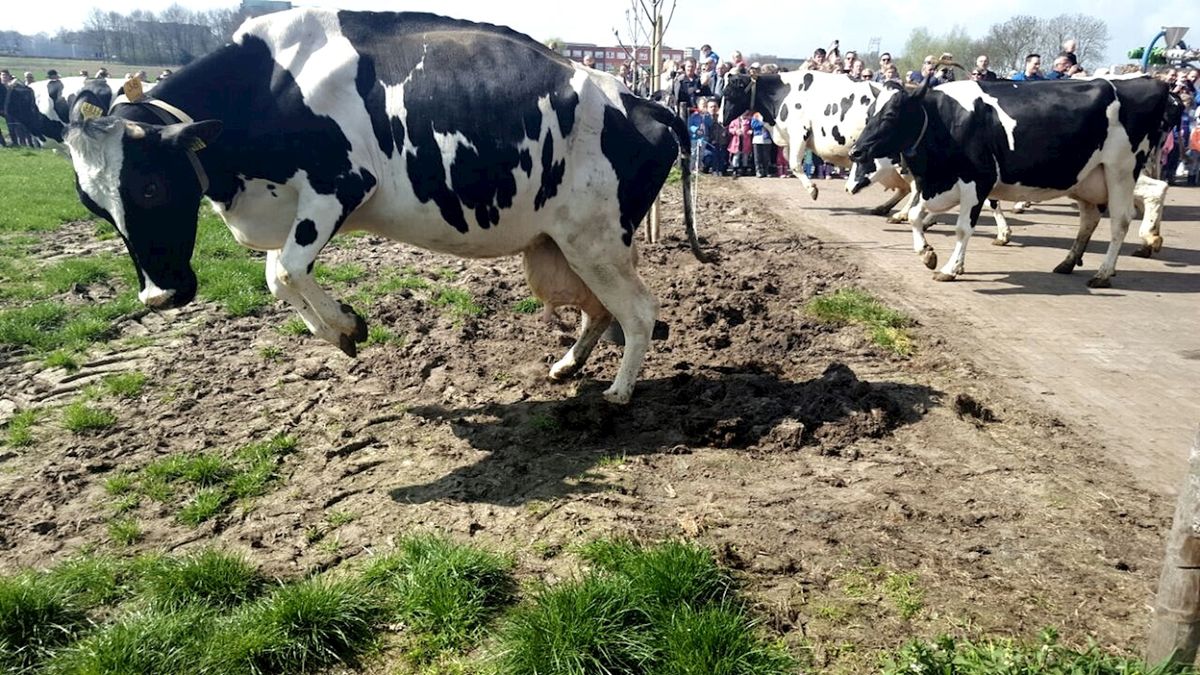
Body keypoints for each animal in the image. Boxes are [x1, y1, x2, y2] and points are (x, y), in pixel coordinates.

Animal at [61, 8, 707, 405]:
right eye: (94, 206)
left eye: (150, 187)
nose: (157, 296)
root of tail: (644, 101)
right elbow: (280, 277)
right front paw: (340, 328)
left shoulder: (340, 185)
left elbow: (283, 272)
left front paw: (346, 325)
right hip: (555, 250)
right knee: (599, 310)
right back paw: (568, 366)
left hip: (596, 240)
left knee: (640, 310)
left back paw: (620, 392)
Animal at [719, 70, 912, 216]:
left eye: (727, 93)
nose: (720, 120)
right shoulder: (790, 138)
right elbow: (787, 158)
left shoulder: (799, 132)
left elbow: (794, 164)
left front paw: (812, 190)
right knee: (906, 187)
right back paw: (884, 208)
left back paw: (902, 214)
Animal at [849, 77, 1171, 287]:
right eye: (870, 112)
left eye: (891, 114)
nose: (855, 150)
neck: (946, 120)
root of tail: (1151, 82)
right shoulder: (936, 184)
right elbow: (915, 216)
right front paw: (927, 254)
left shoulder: (978, 180)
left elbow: (963, 228)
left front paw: (951, 268)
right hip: (1087, 178)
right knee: (1089, 219)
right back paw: (1068, 263)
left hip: (1121, 170)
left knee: (1121, 220)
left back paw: (1105, 272)